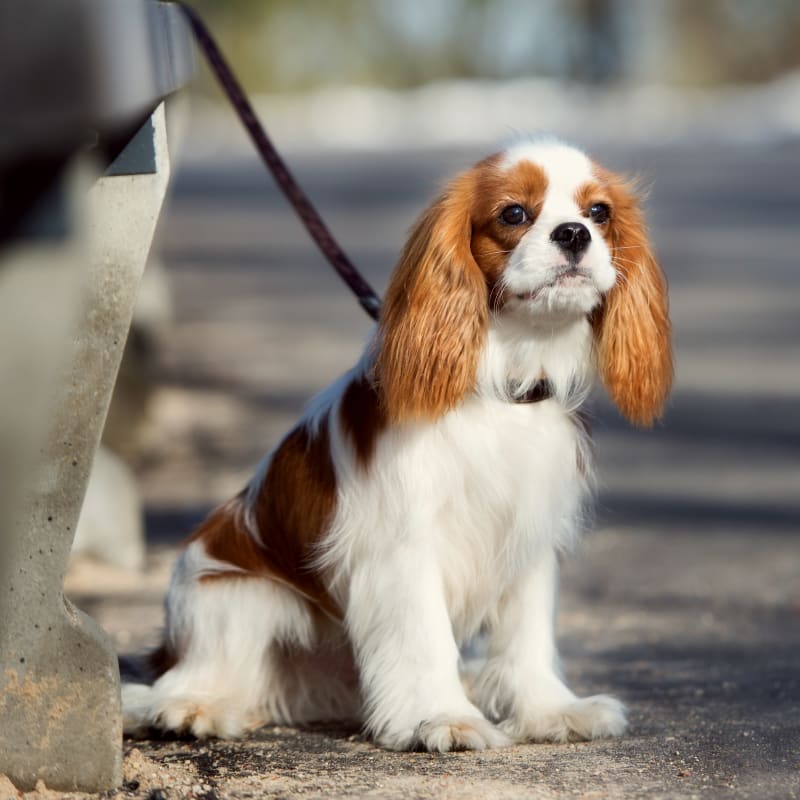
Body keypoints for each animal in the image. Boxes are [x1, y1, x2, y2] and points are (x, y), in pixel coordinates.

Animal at [122, 138, 672, 752]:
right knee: (186, 680)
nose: (574, 233)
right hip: (236, 597)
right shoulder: (402, 549)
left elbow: (527, 635)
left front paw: (550, 711)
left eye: (599, 212)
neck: (502, 383)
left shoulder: (529, 536)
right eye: (513, 214)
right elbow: (423, 637)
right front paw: (444, 718)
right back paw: (188, 709)